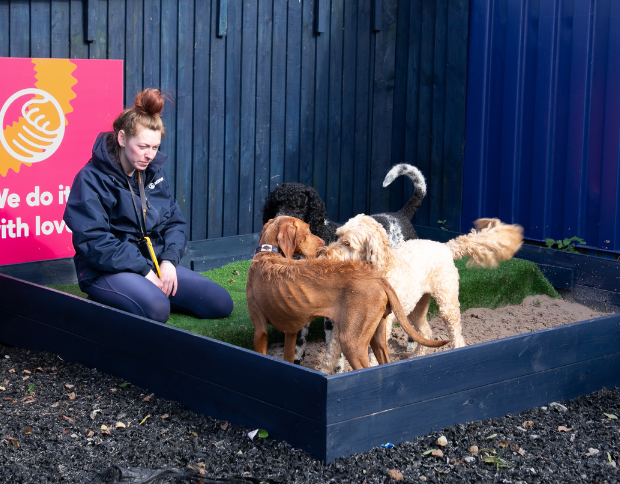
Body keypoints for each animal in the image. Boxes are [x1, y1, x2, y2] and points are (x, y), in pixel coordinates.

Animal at [245, 216, 448, 370]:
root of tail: (377, 277)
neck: (267, 253)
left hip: (352, 342)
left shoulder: (260, 330)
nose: (322, 244)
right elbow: (289, 358)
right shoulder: (291, 331)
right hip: (377, 338)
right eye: (307, 232)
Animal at [260, 164, 426, 366]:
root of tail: (401, 215)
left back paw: (411, 344)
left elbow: (334, 350)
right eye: (276, 203)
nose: (277, 219)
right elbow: (299, 342)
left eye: (299, 204)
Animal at [322, 216, 524, 366]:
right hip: (415, 308)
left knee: (457, 336)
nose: (324, 254)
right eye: (337, 236)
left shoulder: (381, 327)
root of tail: (444, 246)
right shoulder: (340, 326)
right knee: (426, 333)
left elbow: (372, 359)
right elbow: (329, 359)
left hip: (447, 302)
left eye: (348, 243)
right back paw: (416, 358)